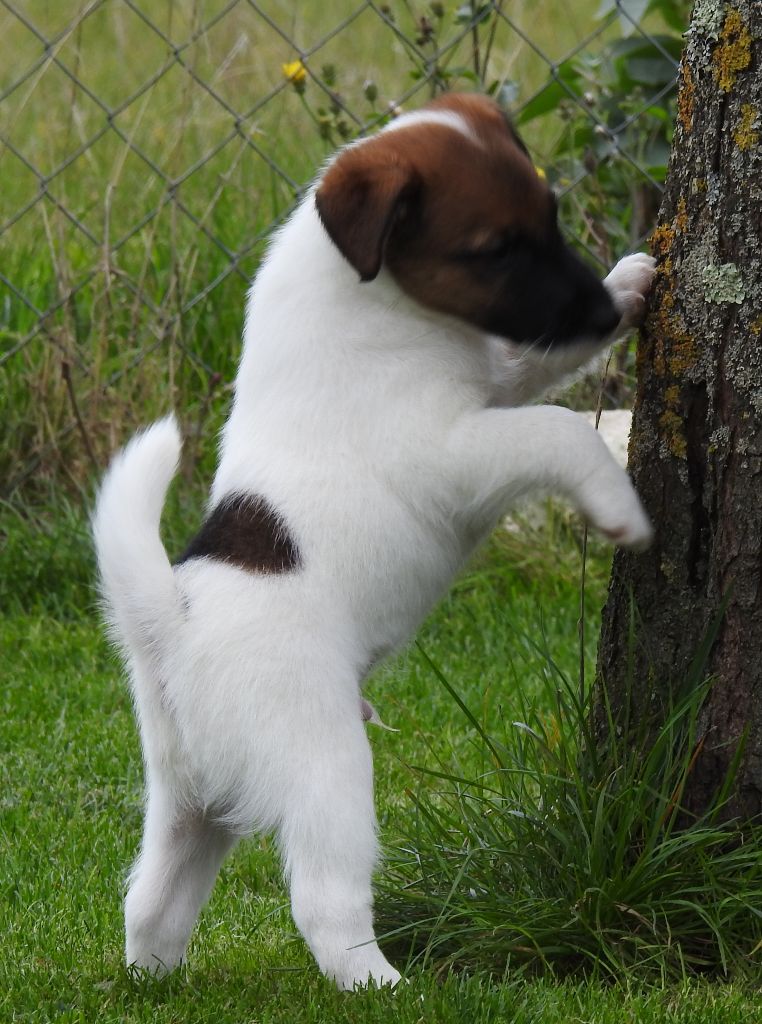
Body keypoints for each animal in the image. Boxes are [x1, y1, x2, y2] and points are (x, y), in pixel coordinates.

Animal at [93, 92, 655, 987]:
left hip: (190, 795)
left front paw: (631, 283)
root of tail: (173, 626)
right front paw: (622, 513)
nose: (601, 316)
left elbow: (535, 369)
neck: (369, 294)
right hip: (326, 768)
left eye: (554, 216)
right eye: (494, 250)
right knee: (322, 899)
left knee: (151, 895)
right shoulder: (456, 448)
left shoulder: (492, 381)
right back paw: (381, 984)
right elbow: (563, 429)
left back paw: (155, 976)